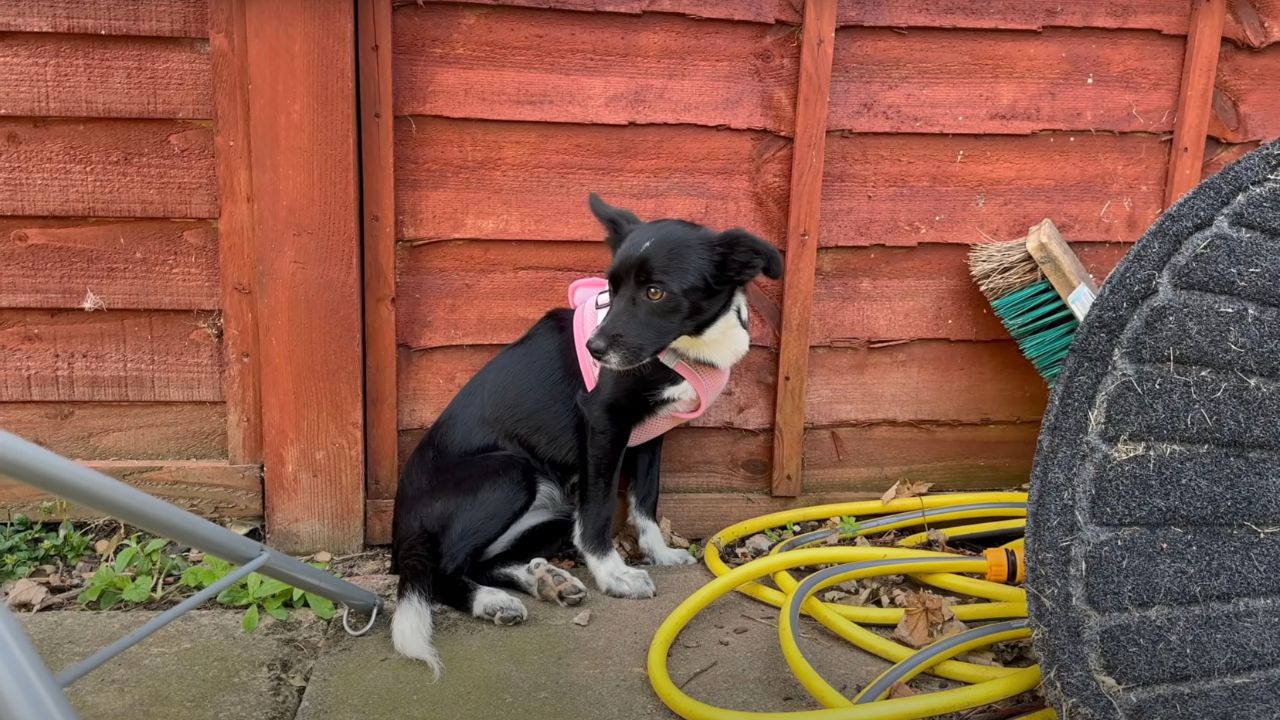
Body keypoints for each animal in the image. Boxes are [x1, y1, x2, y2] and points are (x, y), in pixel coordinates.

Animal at [384, 192, 778, 671]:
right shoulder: (603, 422)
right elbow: (600, 510)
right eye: (611, 289)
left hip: (550, 514)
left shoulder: (651, 436)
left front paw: (657, 552)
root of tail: (401, 529)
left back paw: (542, 580)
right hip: (509, 472)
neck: (685, 347)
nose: (595, 349)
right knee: (441, 571)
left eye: (655, 291)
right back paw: (491, 601)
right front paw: (614, 574)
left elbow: (645, 500)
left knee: (481, 560)